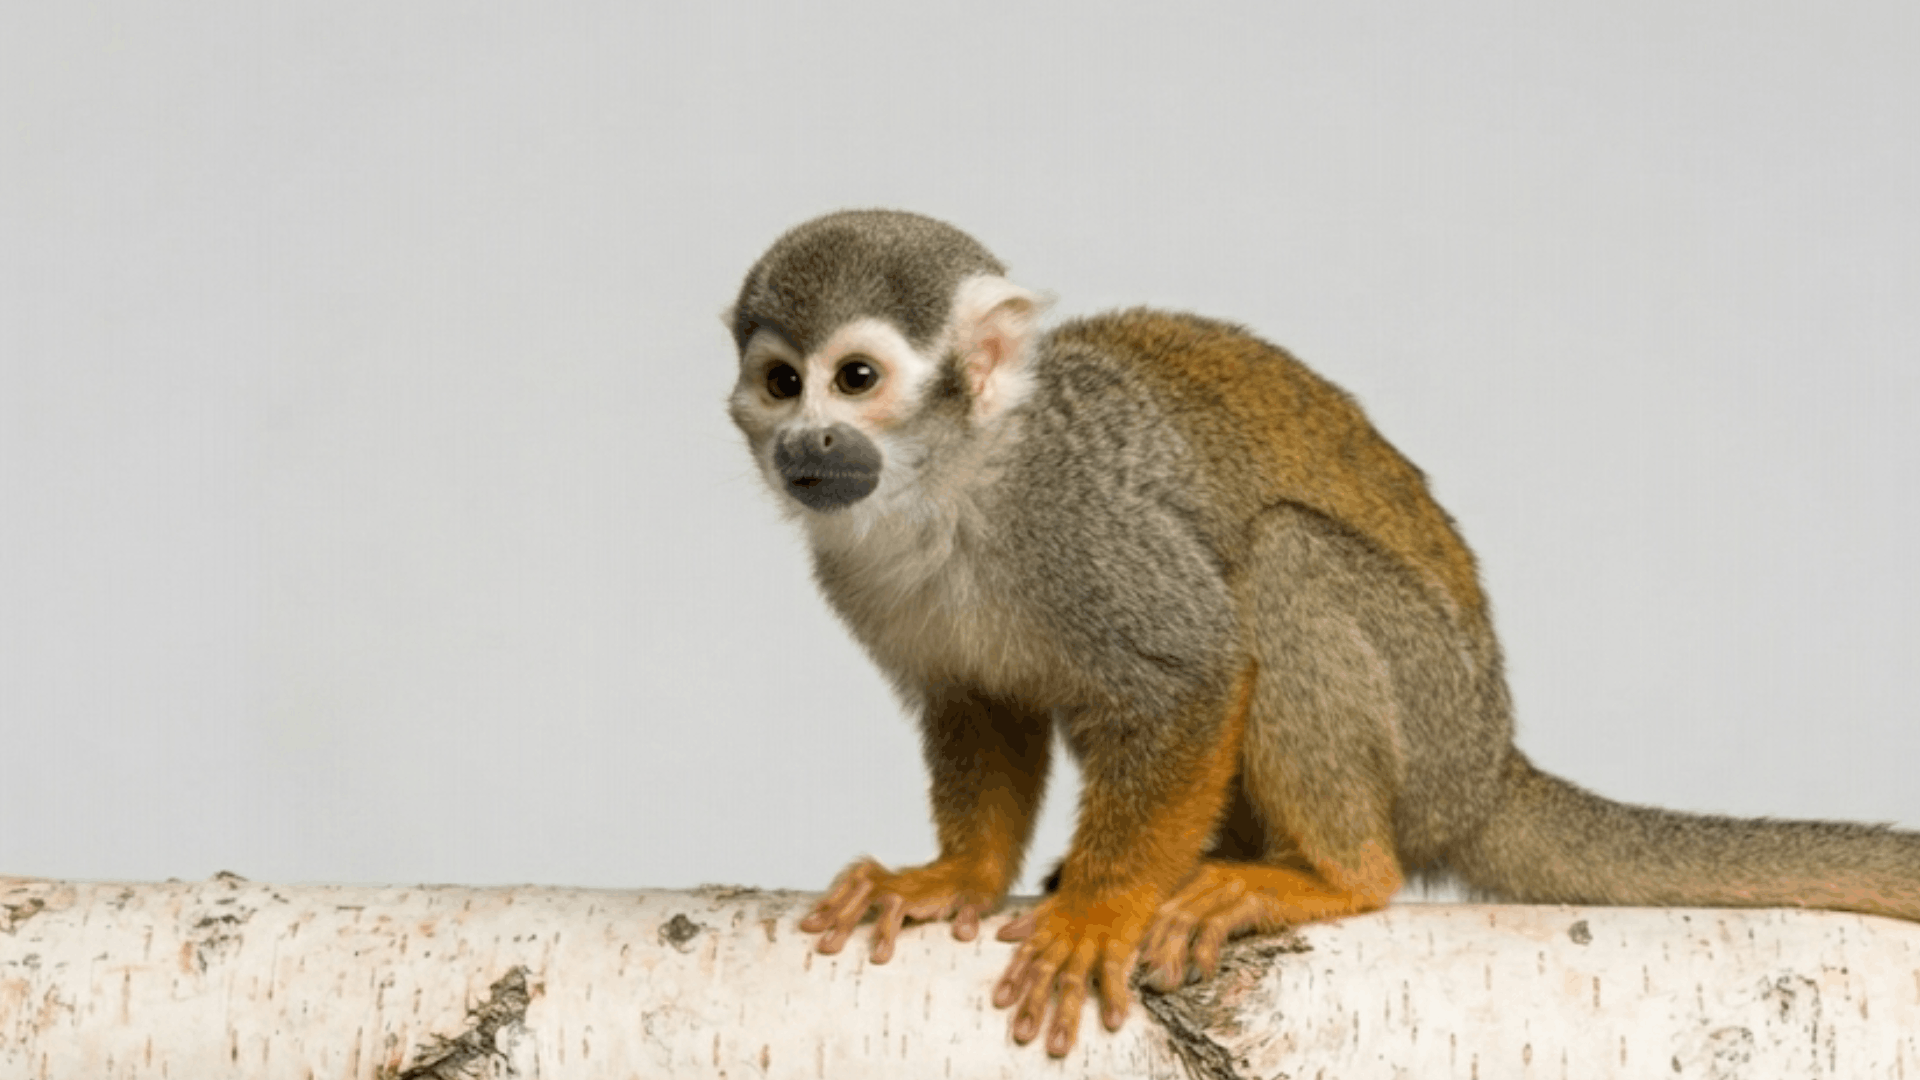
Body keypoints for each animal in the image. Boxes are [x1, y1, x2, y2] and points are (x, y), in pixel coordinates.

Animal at [722, 208, 1920, 1058]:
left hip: (1427, 719)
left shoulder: (1086, 521)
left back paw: (1335, 875)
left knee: (1282, 559)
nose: (805, 443)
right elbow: (977, 705)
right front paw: (952, 876)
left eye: (857, 379)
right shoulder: (861, 569)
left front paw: (1101, 914)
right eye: (781, 383)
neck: (952, 487)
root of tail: (1489, 767)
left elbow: (1194, 669)